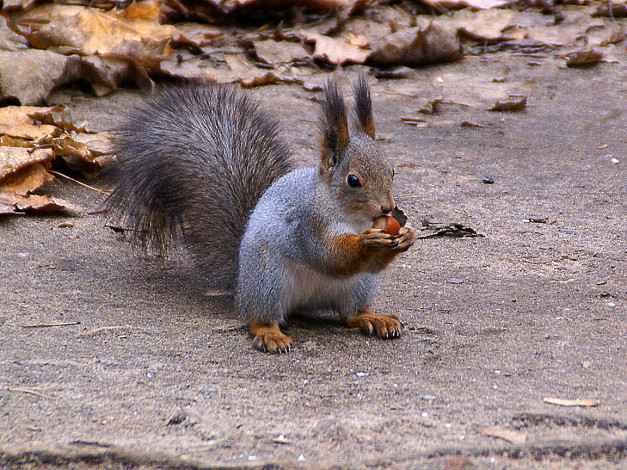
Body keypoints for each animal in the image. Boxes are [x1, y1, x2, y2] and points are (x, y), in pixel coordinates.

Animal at [108, 76, 418, 352]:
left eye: (392, 171)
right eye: (353, 180)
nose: (388, 208)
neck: (350, 216)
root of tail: (241, 282)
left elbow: (371, 264)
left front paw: (407, 236)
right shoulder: (307, 224)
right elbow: (328, 256)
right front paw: (367, 241)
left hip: (357, 285)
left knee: (351, 314)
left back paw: (374, 318)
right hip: (268, 280)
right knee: (257, 318)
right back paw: (270, 334)